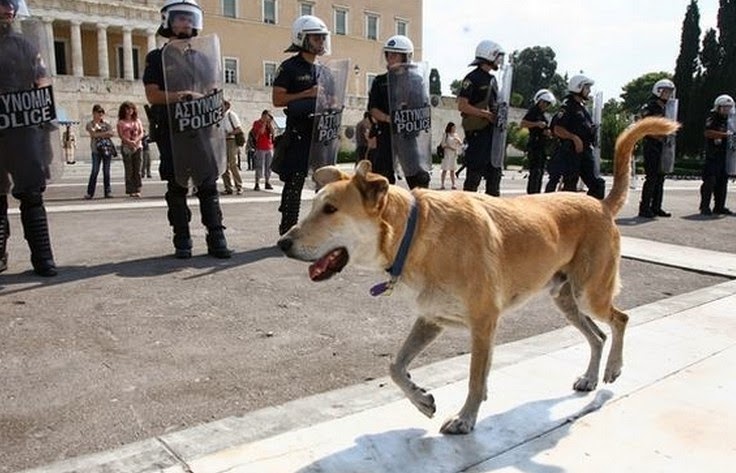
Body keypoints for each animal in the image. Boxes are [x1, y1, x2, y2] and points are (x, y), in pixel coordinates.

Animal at [278, 117, 680, 432]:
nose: (282, 242)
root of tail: (600, 203)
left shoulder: (484, 322)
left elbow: (474, 377)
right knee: (597, 335)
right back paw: (591, 377)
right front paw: (422, 399)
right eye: (314, 206)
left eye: (330, 209)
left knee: (620, 319)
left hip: (590, 292)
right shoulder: (431, 318)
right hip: (565, 298)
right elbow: (395, 366)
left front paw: (465, 419)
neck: (416, 231)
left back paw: (613, 369)